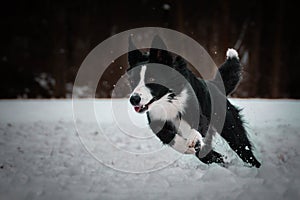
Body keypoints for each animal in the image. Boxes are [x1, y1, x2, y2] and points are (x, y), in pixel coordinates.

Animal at [126, 35, 260, 167]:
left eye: (152, 78)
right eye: (132, 80)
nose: (134, 99)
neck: (168, 99)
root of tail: (215, 85)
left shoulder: (198, 114)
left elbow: (196, 127)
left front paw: (193, 141)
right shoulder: (156, 120)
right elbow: (167, 136)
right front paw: (189, 148)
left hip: (231, 128)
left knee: (245, 151)